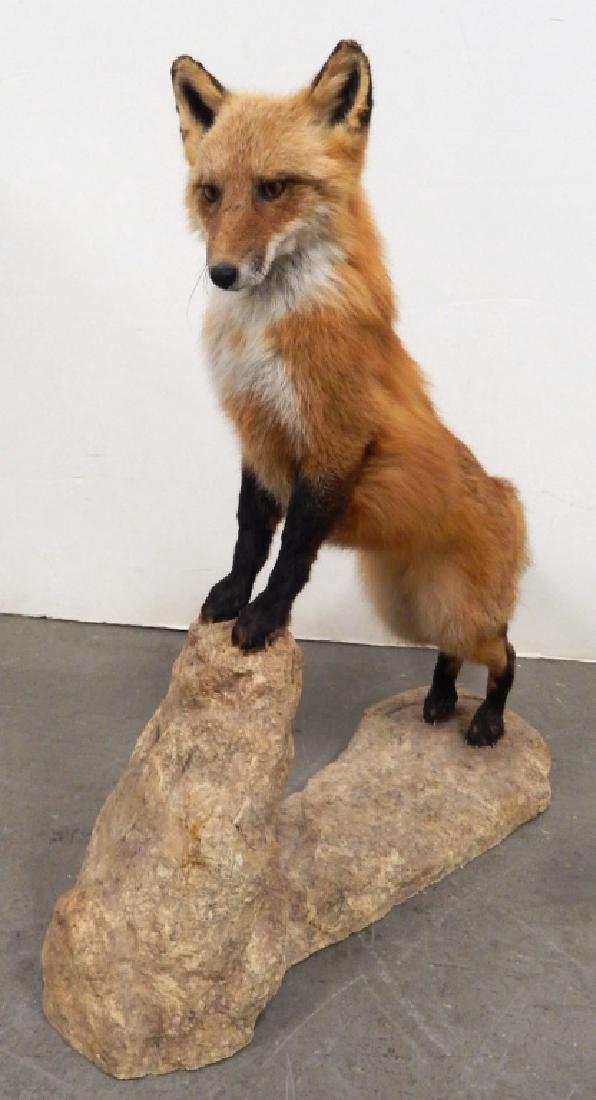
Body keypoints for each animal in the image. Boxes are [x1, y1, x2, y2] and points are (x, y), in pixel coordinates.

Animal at [170, 40, 528, 747]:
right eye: (210, 193)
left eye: (273, 188)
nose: (222, 273)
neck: (266, 334)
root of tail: (507, 494)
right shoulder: (260, 437)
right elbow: (251, 536)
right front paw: (231, 597)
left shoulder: (332, 441)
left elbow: (293, 550)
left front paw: (263, 619)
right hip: (409, 612)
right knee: (453, 653)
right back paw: (440, 700)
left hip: (455, 608)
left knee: (505, 653)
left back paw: (489, 719)